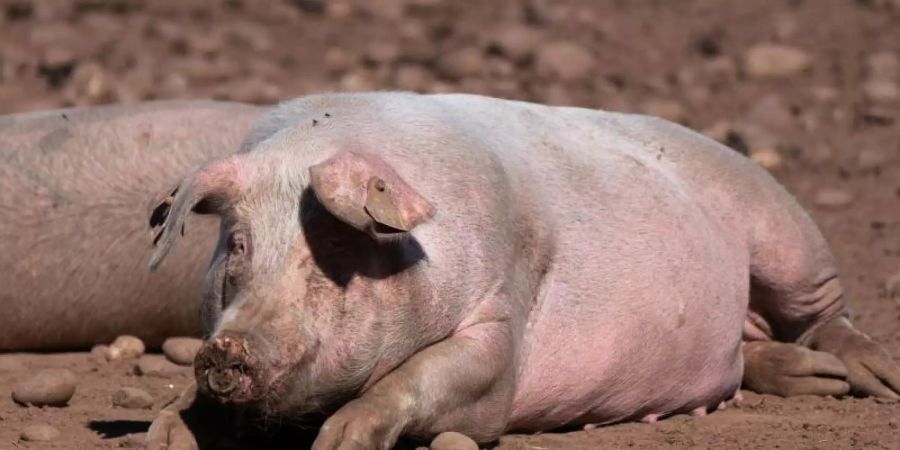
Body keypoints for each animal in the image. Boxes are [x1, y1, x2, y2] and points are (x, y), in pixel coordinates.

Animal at [139, 92, 900, 450]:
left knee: (828, 314)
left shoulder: (500, 320)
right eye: (238, 247)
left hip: (784, 230)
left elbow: (434, 377)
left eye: (327, 251)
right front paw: (166, 435)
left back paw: (868, 379)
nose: (227, 349)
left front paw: (340, 441)